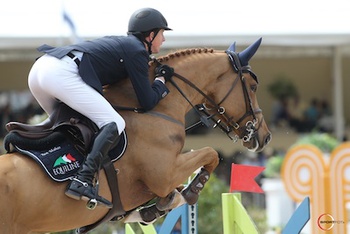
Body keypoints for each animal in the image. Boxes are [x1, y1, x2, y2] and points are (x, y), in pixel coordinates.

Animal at [0, 38, 270, 232]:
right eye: (253, 86)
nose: (264, 137)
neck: (155, 109)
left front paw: (155, 209)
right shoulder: (164, 174)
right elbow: (210, 154)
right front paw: (191, 191)